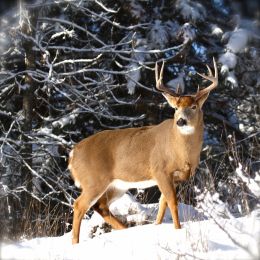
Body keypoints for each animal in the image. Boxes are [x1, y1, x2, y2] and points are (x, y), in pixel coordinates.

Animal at [68, 57, 217, 244]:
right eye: (176, 108)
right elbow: (172, 202)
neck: (182, 153)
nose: (181, 121)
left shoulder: (175, 177)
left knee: (100, 205)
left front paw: (157, 227)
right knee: (79, 205)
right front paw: (178, 230)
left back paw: (124, 231)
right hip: (93, 179)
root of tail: (73, 154)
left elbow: (163, 204)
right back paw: (76, 243)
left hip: (117, 184)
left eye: (194, 106)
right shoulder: (160, 170)